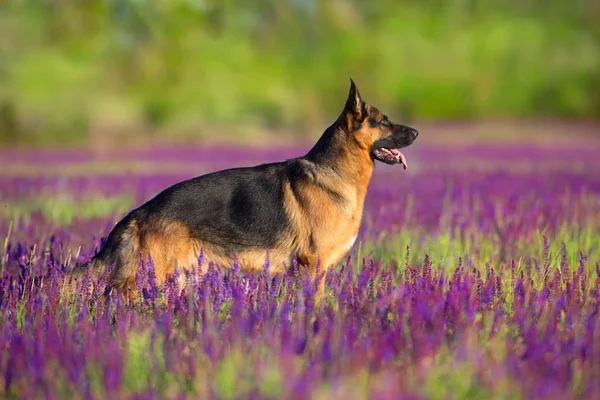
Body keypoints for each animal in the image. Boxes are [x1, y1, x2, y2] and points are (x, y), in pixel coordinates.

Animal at [71, 79, 418, 300]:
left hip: (174, 278)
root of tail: (139, 211)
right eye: (384, 120)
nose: (416, 132)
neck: (334, 173)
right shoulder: (312, 267)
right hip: (157, 276)